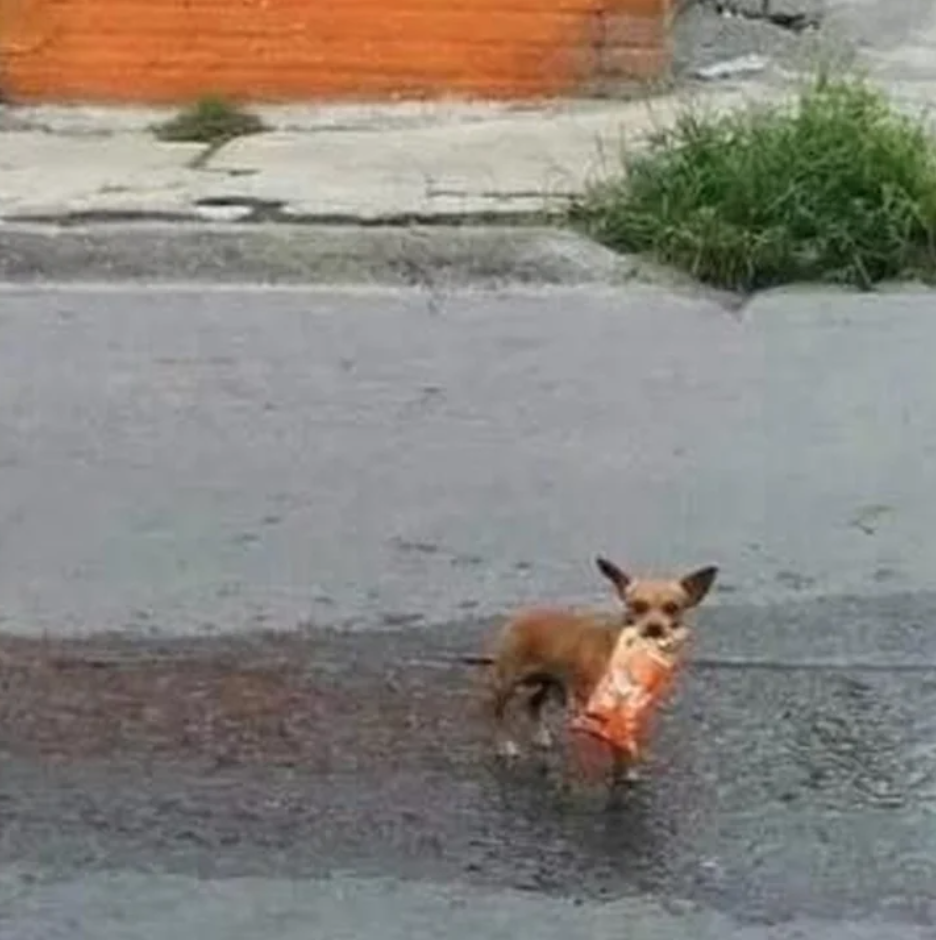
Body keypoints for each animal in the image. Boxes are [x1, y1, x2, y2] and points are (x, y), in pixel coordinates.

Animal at [482, 556, 716, 784]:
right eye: (637, 606)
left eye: (672, 607)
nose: (654, 628)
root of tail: (520, 617)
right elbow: (617, 743)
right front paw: (621, 771)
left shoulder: (630, 708)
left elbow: (626, 740)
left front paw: (627, 768)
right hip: (508, 682)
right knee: (497, 713)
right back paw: (504, 745)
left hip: (550, 680)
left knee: (532, 703)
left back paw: (540, 736)